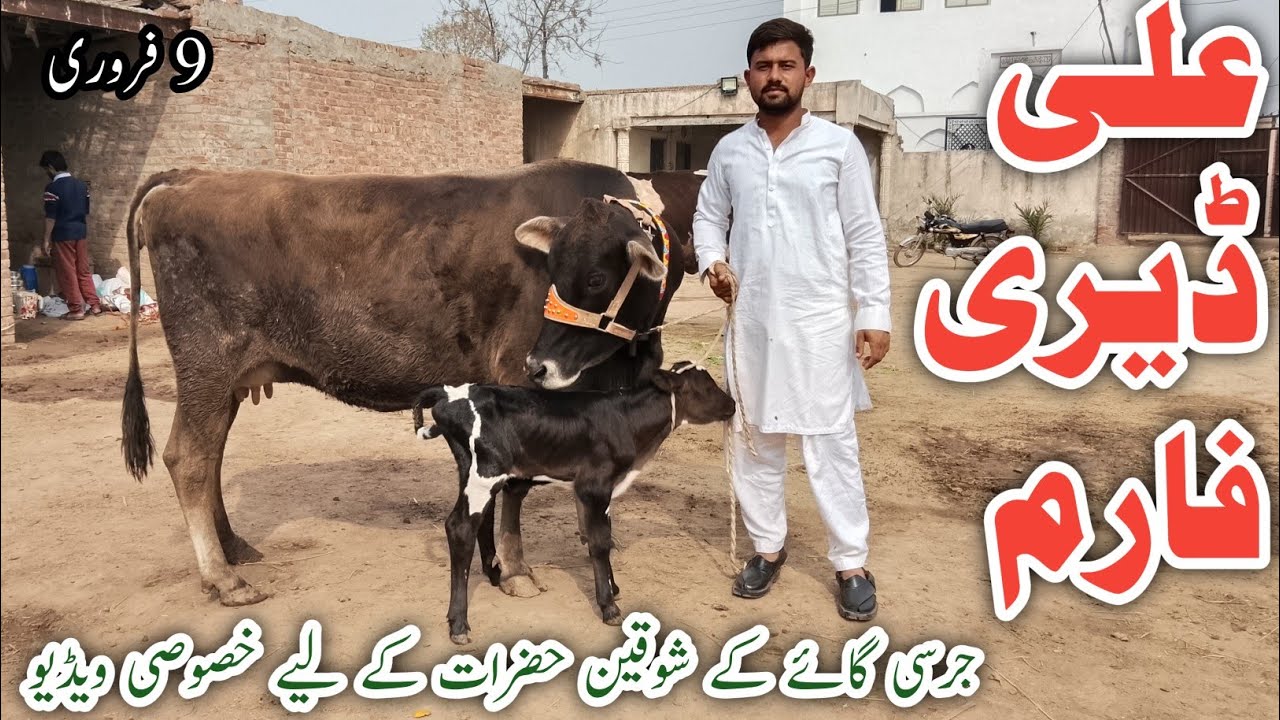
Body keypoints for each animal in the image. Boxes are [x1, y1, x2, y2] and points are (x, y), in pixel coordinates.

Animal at [120, 160, 698, 607]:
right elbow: (515, 485)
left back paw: (234, 547)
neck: (623, 361)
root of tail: (190, 177)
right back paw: (223, 578)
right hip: (207, 362)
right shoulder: (515, 372)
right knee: (190, 459)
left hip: (228, 380)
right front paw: (514, 571)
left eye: (596, 278)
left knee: (212, 454)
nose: (542, 363)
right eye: (552, 268)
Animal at [412, 361, 737, 644]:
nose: (733, 404)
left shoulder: (597, 490)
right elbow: (600, 543)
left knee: (477, 523)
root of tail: (450, 392)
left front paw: (613, 588)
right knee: (460, 528)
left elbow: (601, 537)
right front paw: (609, 607)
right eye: (707, 386)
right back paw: (459, 624)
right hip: (484, 474)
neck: (626, 420)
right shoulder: (595, 485)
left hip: (474, 475)